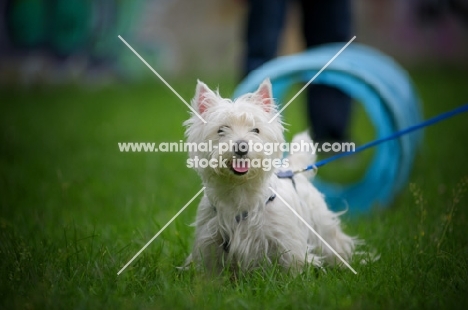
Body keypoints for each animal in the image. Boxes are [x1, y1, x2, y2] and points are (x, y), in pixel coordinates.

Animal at [183, 79, 354, 274]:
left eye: (256, 130)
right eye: (221, 130)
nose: (241, 147)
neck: (240, 190)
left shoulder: (287, 242)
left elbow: (293, 268)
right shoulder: (209, 242)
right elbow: (211, 272)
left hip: (320, 223)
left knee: (336, 243)